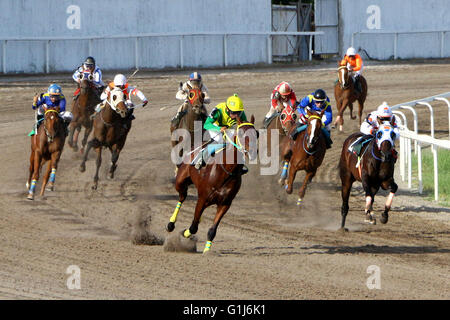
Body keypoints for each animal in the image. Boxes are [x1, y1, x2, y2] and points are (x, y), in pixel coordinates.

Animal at [165, 116, 258, 254]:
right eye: (241, 133)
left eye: (257, 133)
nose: (252, 152)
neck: (226, 171)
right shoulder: (202, 198)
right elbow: (193, 227)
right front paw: (184, 233)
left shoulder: (225, 203)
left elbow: (212, 231)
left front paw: (207, 252)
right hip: (180, 182)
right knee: (182, 197)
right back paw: (171, 224)